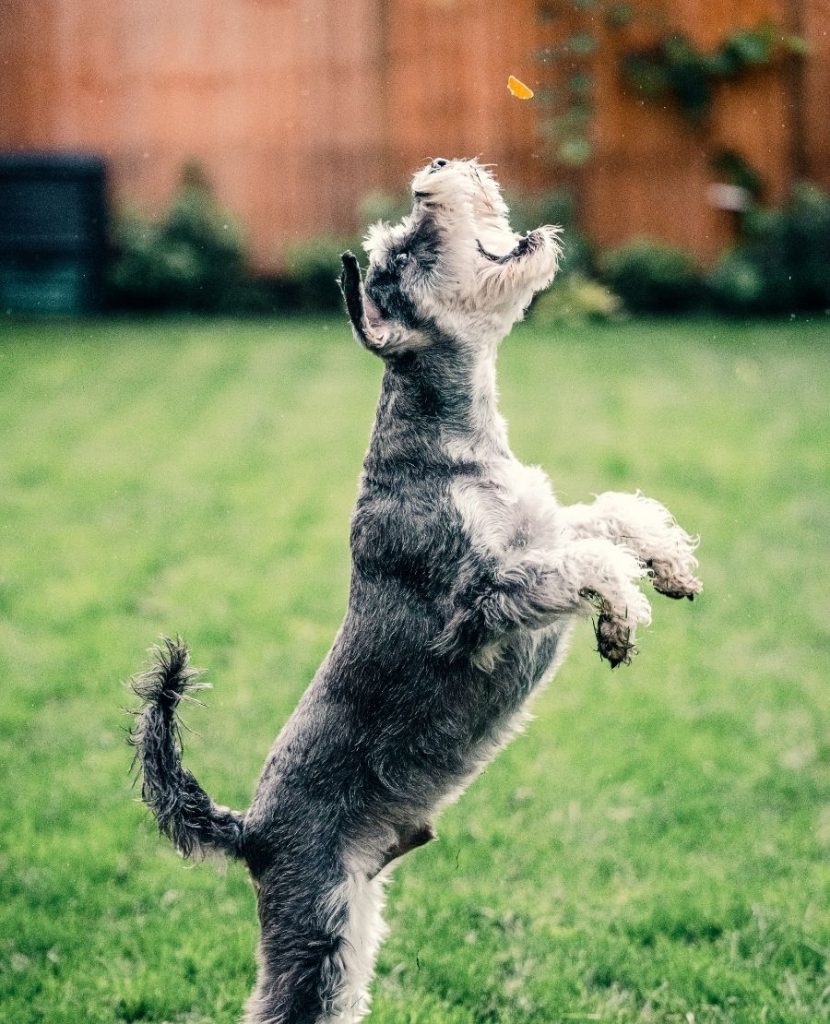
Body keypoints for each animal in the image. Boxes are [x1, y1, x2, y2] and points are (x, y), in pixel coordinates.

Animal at [129, 157, 700, 1024]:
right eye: (403, 250)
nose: (433, 170)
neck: (452, 441)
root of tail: (249, 830)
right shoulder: (483, 600)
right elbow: (585, 562)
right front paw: (622, 616)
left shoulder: (541, 527)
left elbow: (607, 516)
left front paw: (669, 564)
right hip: (318, 925)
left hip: (354, 925)